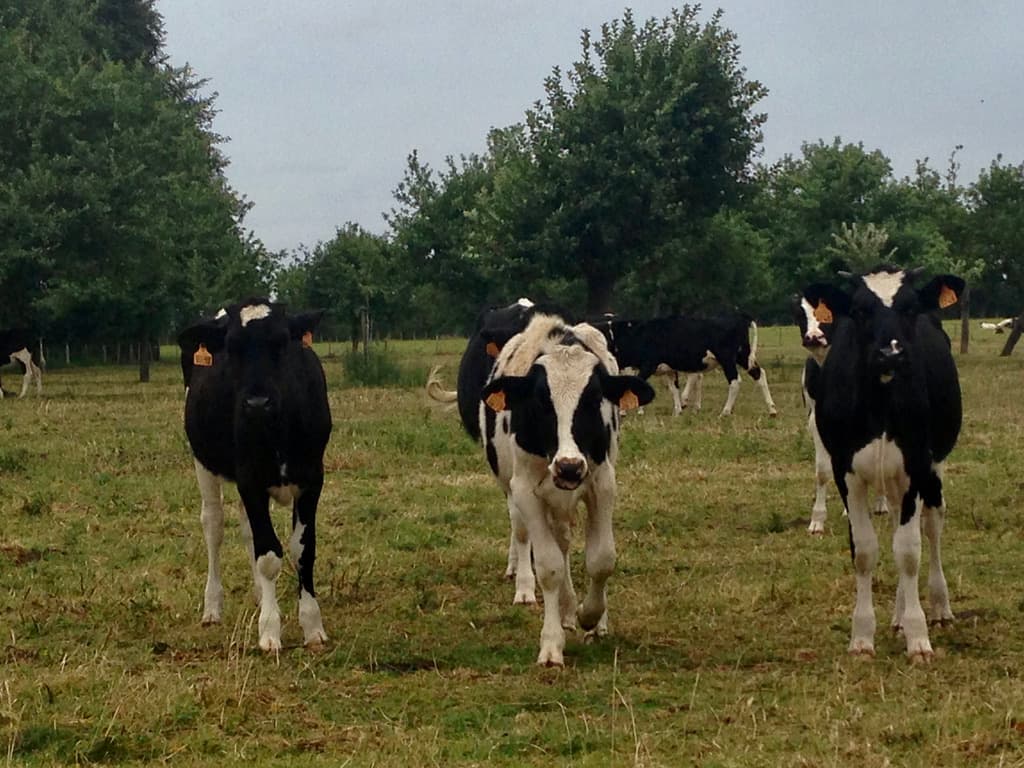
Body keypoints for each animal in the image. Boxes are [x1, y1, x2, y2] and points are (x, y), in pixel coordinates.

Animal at [177, 299, 331, 652]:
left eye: (282, 342)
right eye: (231, 347)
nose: (257, 402)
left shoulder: (312, 479)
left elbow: (303, 551)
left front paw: (312, 625)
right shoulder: (250, 480)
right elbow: (269, 556)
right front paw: (270, 631)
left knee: (247, 529)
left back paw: (261, 596)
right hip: (203, 462)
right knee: (214, 524)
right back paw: (213, 607)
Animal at [479, 313, 654, 665]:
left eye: (594, 399)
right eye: (540, 400)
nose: (569, 466)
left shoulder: (602, 484)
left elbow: (602, 558)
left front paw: (592, 616)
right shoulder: (526, 493)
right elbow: (550, 567)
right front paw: (551, 644)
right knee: (551, 545)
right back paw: (564, 608)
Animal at [593, 313, 777, 417]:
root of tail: (739, 318)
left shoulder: (648, 365)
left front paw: (625, 411)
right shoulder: (669, 369)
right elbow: (674, 388)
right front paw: (678, 410)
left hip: (727, 359)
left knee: (735, 381)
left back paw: (725, 412)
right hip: (743, 356)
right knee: (759, 374)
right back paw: (772, 410)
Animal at [793, 296, 887, 534]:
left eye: (828, 312)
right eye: (800, 314)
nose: (813, 337)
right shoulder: (816, 420)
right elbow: (823, 470)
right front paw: (817, 520)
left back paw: (881, 502)